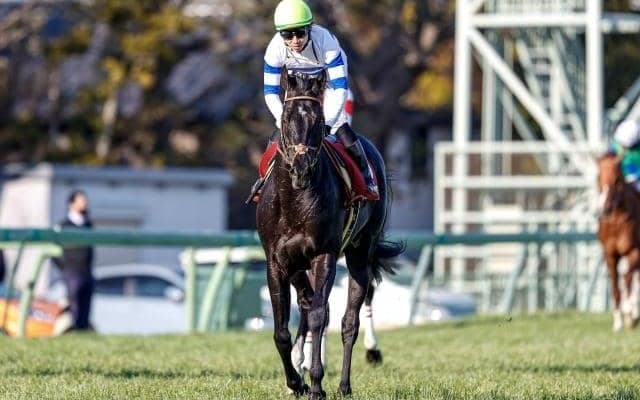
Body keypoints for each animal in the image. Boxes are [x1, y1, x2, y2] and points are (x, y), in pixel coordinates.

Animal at [256, 70, 404, 399]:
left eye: (318, 119)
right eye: (286, 118)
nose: (301, 168)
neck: (295, 200)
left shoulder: (324, 254)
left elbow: (319, 316)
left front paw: (315, 384)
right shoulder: (277, 261)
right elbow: (282, 330)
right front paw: (295, 381)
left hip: (359, 252)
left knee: (349, 320)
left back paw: (345, 383)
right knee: (310, 307)